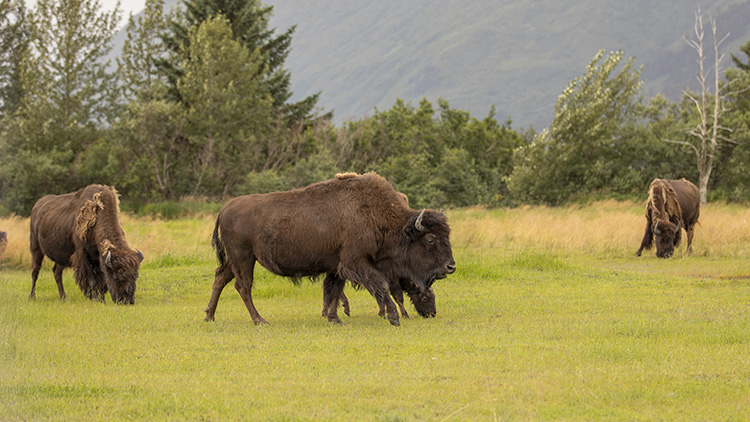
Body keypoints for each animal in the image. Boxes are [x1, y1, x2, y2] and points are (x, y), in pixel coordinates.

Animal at [203, 171, 458, 326]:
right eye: (431, 239)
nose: (451, 266)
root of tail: (224, 209)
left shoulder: (338, 266)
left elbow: (334, 291)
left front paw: (334, 319)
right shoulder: (357, 262)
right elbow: (381, 285)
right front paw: (394, 317)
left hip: (236, 260)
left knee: (220, 278)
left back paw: (210, 316)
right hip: (244, 258)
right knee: (243, 286)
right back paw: (259, 320)